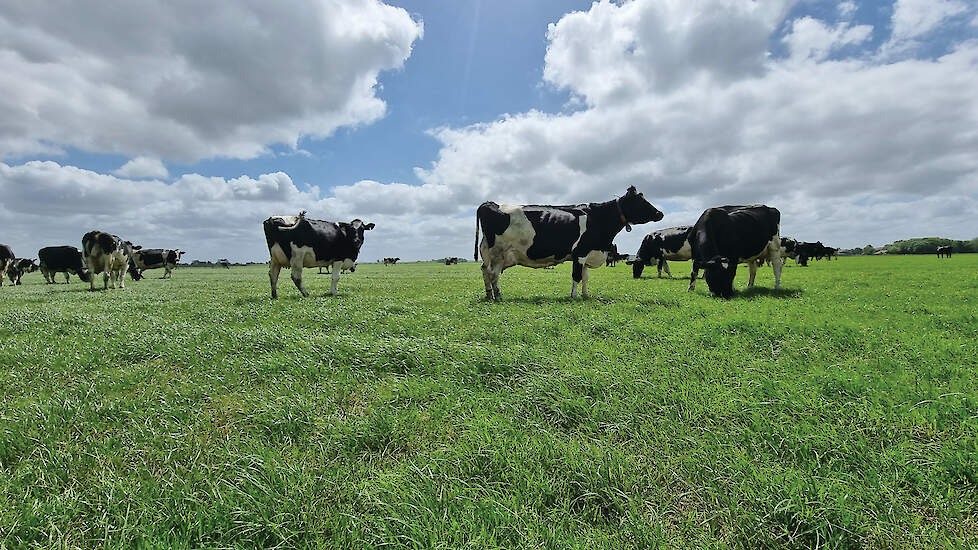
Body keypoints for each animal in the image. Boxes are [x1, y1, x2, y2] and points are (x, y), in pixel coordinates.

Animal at [472, 185, 664, 300]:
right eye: (641, 201)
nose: (660, 213)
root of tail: (490, 203)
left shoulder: (588, 254)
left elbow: (586, 277)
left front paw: (586, 295)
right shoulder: (580, 252)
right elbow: (577, 276)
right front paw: (574, 296)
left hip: (487, 253)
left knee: (484, 271)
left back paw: (488, 295)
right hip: (498, 253)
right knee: (493, 274)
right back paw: (498, 296)